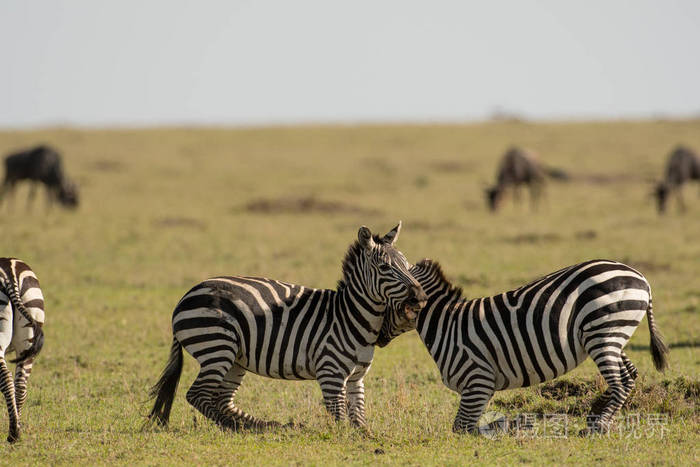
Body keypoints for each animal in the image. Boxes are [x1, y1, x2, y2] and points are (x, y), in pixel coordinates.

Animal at [149, 225, 426, 434]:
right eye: (385, 268)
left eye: (407, 265)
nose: (421, 297)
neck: (351, 317)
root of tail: (186, 296)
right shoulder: (330, 373)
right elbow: (339, 417)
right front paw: (343, 436)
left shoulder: (357, 378)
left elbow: (359, 418)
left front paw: (367, 436)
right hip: (217, 347)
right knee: (198, 395)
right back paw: (239, 427)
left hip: (235, 358)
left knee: (221, 399)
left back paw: (264, 426)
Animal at [380, 260, 668, 436]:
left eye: (382, 303)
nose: (378, 338)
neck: (446, 324)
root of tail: (640, 277)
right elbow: (465, 426)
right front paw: (515, 423)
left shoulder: (478, 381)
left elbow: (462, 427)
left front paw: (512, 424)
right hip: (612, 334)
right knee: (629, 376)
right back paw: (599, 417)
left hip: (603, 331)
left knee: (619, 380)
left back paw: (597, 426)